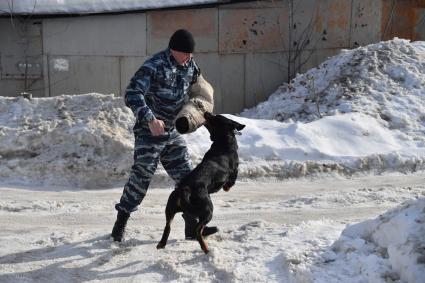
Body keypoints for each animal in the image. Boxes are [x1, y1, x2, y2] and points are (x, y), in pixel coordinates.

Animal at [156, 112, 243, 254]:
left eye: (214, 118)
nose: (207, 112)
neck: (223, 141)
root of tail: (185, 188)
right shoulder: (233, 173)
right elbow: (230, 183)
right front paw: (226, 187)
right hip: (208, 209)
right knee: (198, 230)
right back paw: (205, 248)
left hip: (170, 208)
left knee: (167, 226)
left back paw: (162, 244)